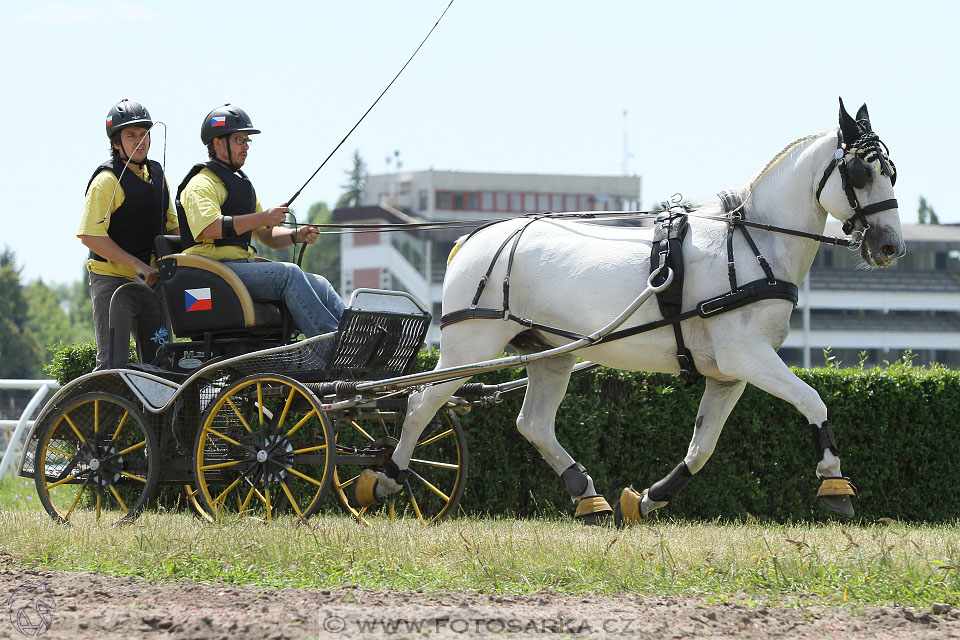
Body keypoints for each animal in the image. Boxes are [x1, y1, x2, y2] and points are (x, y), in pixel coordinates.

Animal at [356, 97, 904, 524]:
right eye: (860, 172)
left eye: (892, 172)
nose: (891, 246)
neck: (752, 243)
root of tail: (473, 238)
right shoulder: (747, 356)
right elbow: (813, 400)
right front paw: (834, 483)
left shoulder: (729, 371)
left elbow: (701, 447)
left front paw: (647, 499)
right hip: (470, 345)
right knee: (420, 403)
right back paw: (386, 477)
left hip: (549, 353)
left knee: (532, 423)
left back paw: (586, 494)